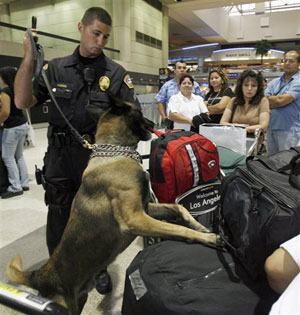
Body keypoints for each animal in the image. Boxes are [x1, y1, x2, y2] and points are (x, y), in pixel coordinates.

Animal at [6, 97, 220, 314]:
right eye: (139, 112)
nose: (153, 123)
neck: (114, 152)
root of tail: (40, 276)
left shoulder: (146, 209)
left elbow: (179, 208)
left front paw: (201, 227)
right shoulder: (135, 218)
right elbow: (178, 229)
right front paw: (208, 238)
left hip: (79, 300)